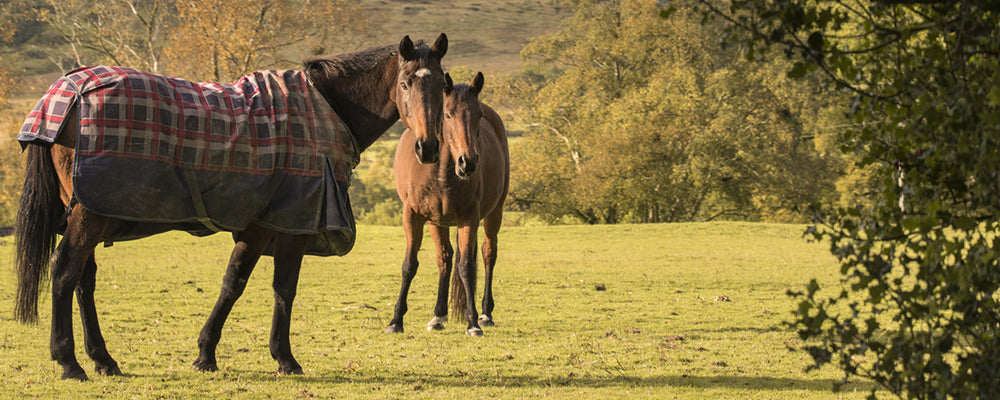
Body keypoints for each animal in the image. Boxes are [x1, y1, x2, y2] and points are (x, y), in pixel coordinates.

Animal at [11, 32, 448, 380]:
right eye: (405, 83)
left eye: (444, 86)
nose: (428, 147)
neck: (325, 108)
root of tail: (65, 93)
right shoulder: (287, 222)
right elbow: (265, 286)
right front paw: (278, 357)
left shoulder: (270, 224)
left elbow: (249, 285)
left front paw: (213, 353)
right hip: (90, 213)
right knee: (65, 272)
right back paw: (69, 362)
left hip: (88, 210)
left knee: (83, 281)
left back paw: (103, 359)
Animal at [382, 72, 508, 338]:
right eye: (447, 115)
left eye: (478, 115)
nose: (468, 162)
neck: (440, 171)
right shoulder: (413, 216)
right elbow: (410, 265)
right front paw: (396, 320)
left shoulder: (469, 219)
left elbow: (467, 267)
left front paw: (472, 323)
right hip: (436, 222)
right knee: (445, 259)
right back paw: (438, 316)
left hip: (495, 213)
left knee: (488, 254)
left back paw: (485, 314)